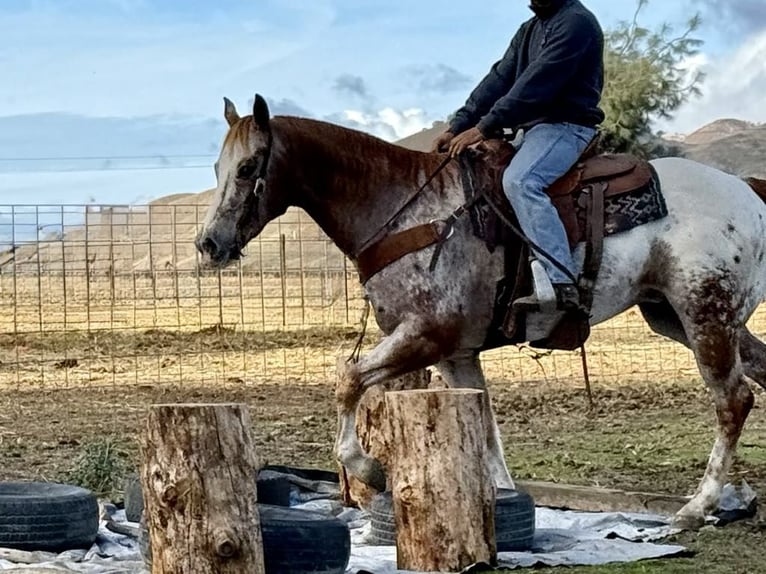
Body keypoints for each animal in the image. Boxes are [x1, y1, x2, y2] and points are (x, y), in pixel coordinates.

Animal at [196, 95, 766, 529]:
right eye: (217, 168)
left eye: (247, 168)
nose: (208, 244)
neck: (406, 211)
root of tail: (748, 190)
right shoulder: (457, 353)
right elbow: (488, 431)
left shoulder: (425, 335)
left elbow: (348, 379)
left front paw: (371, 470)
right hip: (679, 317)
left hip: (705, 314)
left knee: (733, 400)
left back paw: (695, 507)